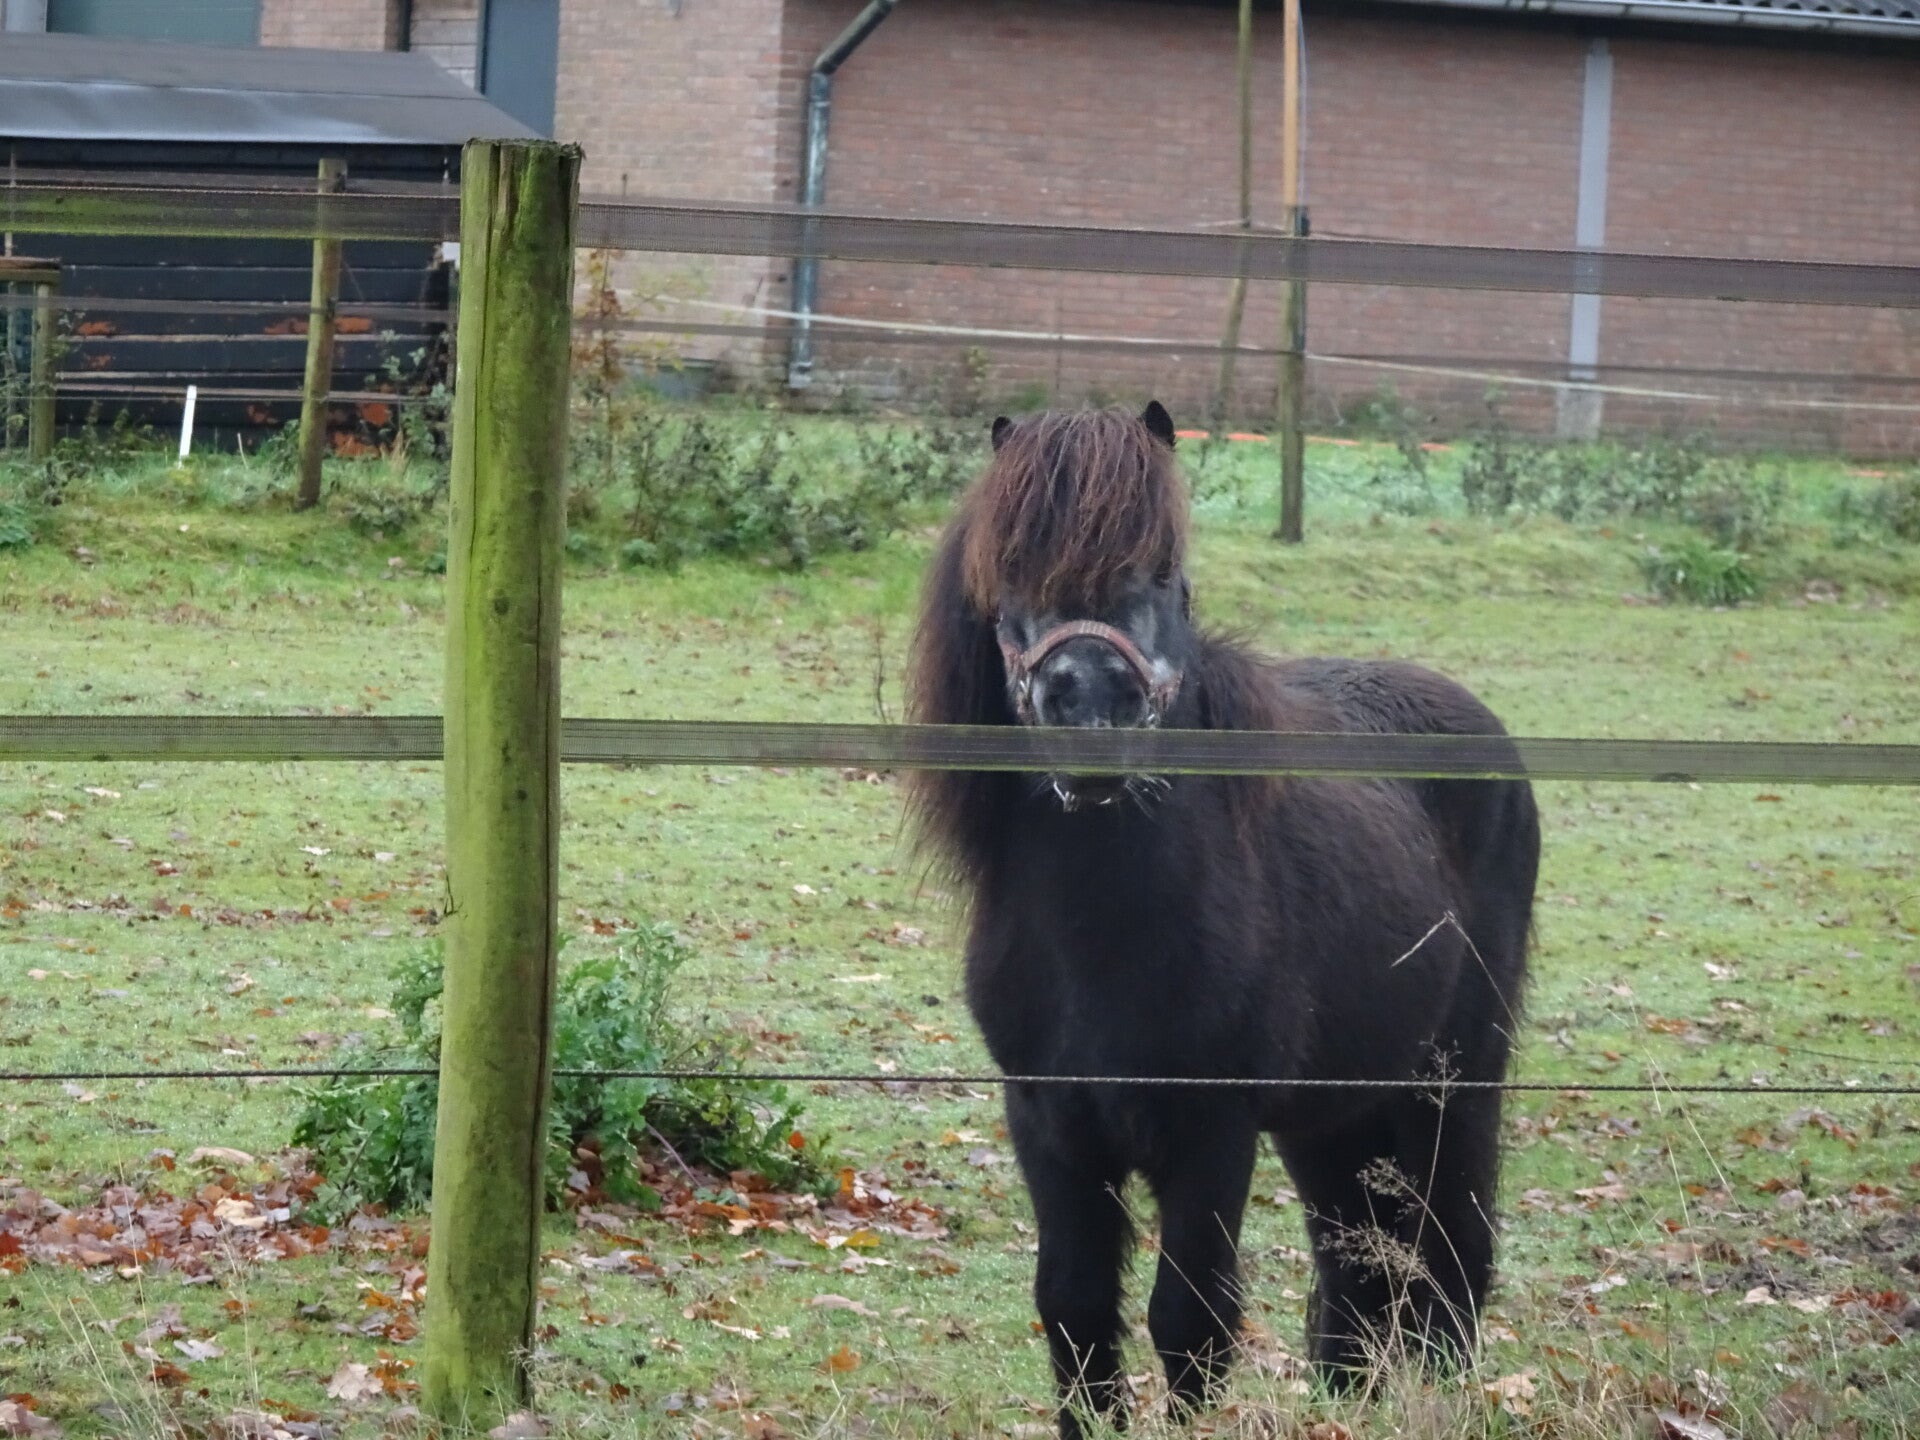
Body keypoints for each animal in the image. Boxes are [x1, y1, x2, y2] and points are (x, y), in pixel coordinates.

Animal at [907, 403, 1540, 1437]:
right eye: (1013, 572)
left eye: (1166, 565)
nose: (1092, 707)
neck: (1104, 938)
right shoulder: (1047, 1123)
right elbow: (1074, 1306)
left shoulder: (1211, 1129)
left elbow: (1191, 1318)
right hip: (1335, 1114)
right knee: (1354, 1269)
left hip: (1454, 1080)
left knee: (1453, 1251)